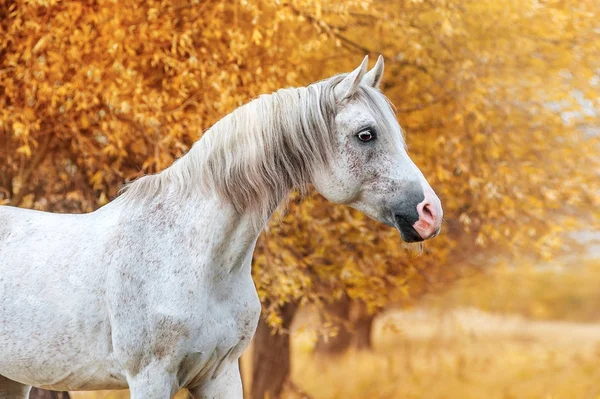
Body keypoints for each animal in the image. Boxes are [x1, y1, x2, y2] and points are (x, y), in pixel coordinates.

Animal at [0, 56, 440, 399]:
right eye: (366, 134)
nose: (430, 213)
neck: (193, 256)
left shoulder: (221, 374)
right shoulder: (149, 377)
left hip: (13, 378)